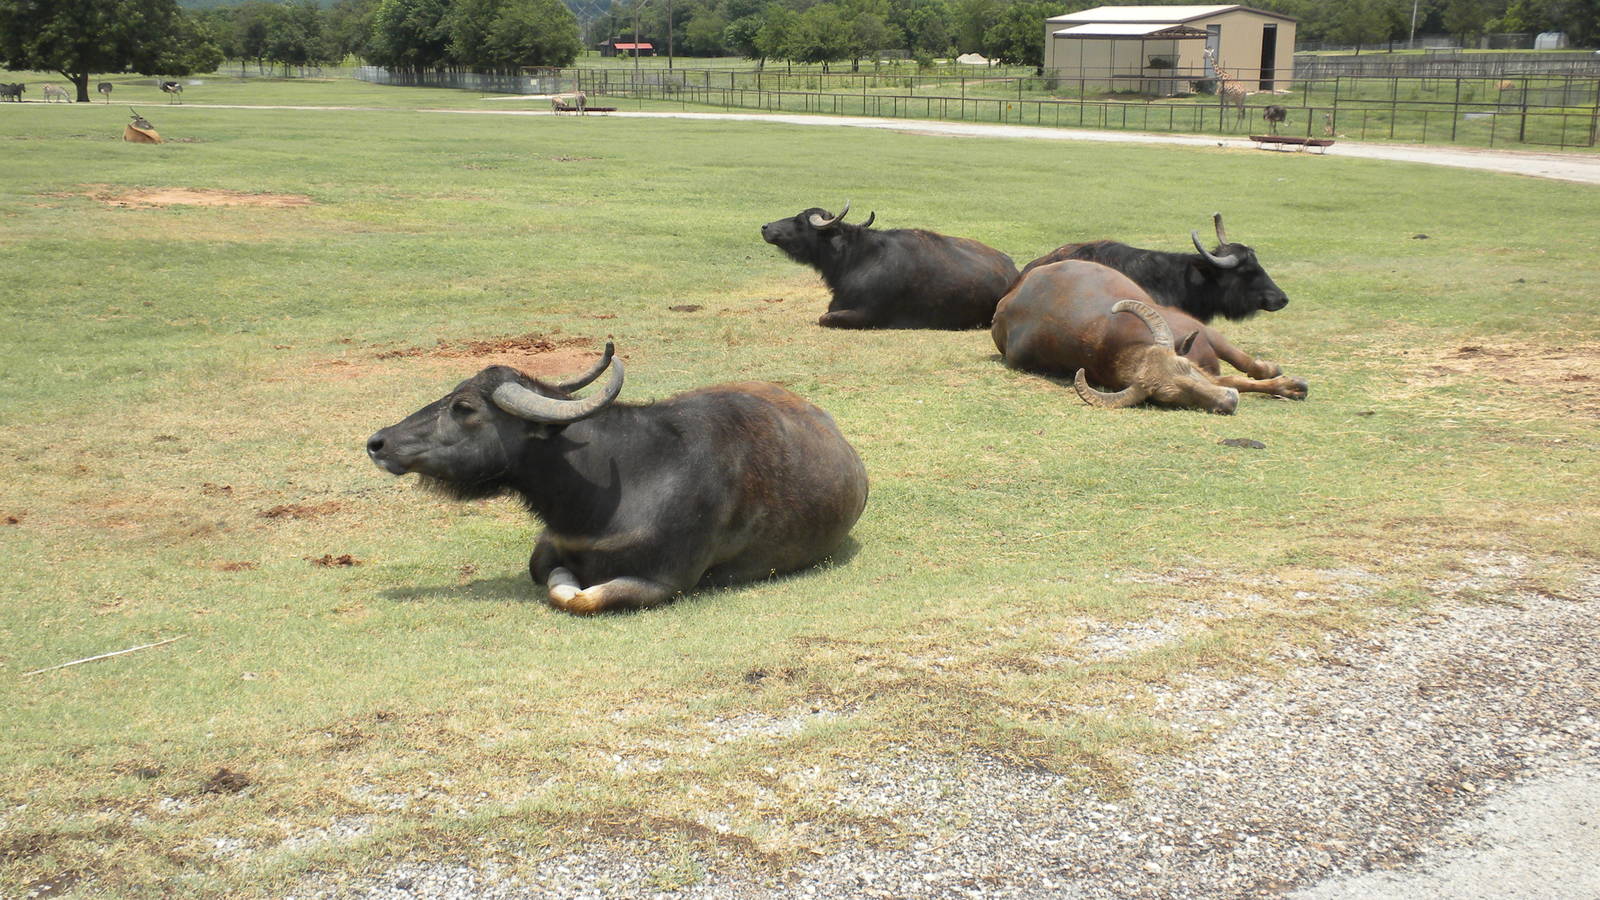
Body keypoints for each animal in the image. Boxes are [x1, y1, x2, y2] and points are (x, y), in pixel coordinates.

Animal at [761, 202, 1019, 329]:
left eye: (799, 220)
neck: (856, 258)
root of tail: (1013, 270)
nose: (765, 227)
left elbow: (824, 318)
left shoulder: (866, 315)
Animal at [993, 261, 1308, 414]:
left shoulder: (1203, 330)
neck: (1104, 338)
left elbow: (1242, 364)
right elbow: (1230, 379)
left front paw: (1281, 378)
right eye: (1169, 398)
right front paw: (1287, 387)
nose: (1228, 404)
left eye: (1185, 368)